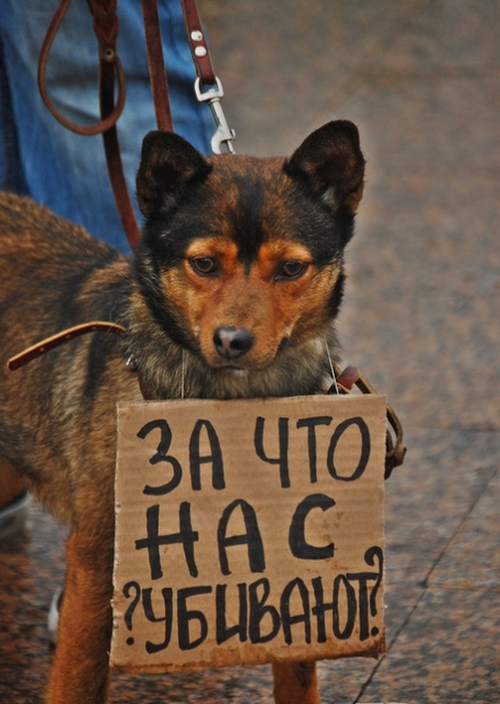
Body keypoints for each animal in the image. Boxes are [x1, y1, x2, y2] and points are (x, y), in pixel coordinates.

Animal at [0, 118, 366, 700]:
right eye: (204, 264)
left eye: (290, 268)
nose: (233, 341)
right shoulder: (97, 560)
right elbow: (77, 679)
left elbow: (298, 678)